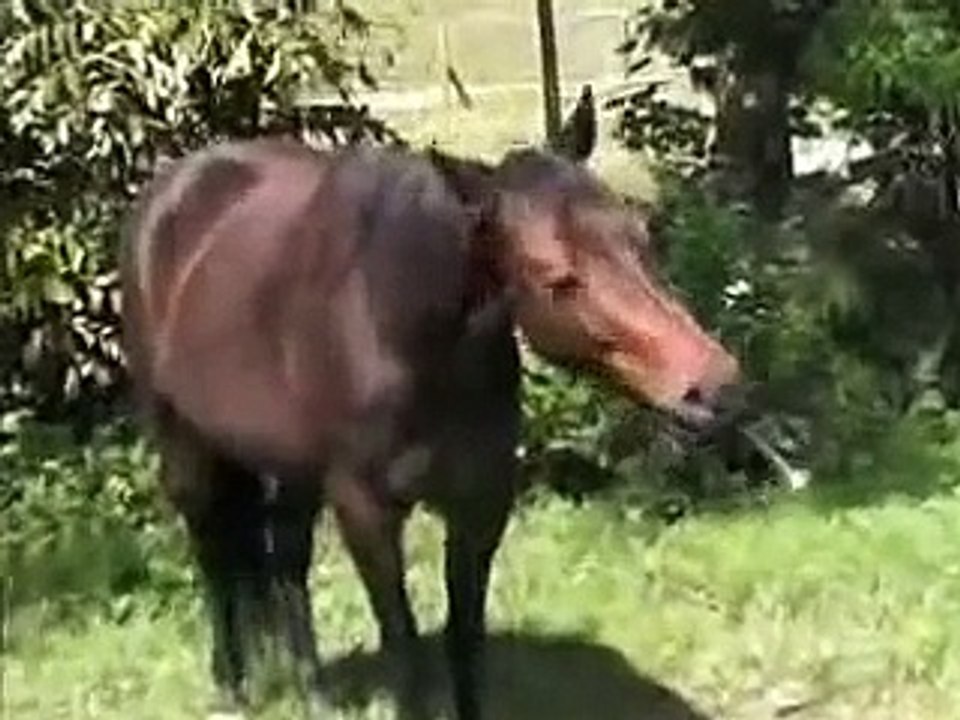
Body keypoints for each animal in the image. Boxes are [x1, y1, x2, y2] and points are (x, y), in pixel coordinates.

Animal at [119, 106, 744, 720]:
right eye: (556, 277)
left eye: (641, 238)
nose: (715, 386)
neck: (397, 330)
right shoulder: (366, 510)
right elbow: (404, 643)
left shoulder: (480, 504)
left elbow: (463, 638)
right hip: (186, 448)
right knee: (215, 559)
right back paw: (234, 687)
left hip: (293, 468)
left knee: (287, 560)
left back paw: (313, 690)